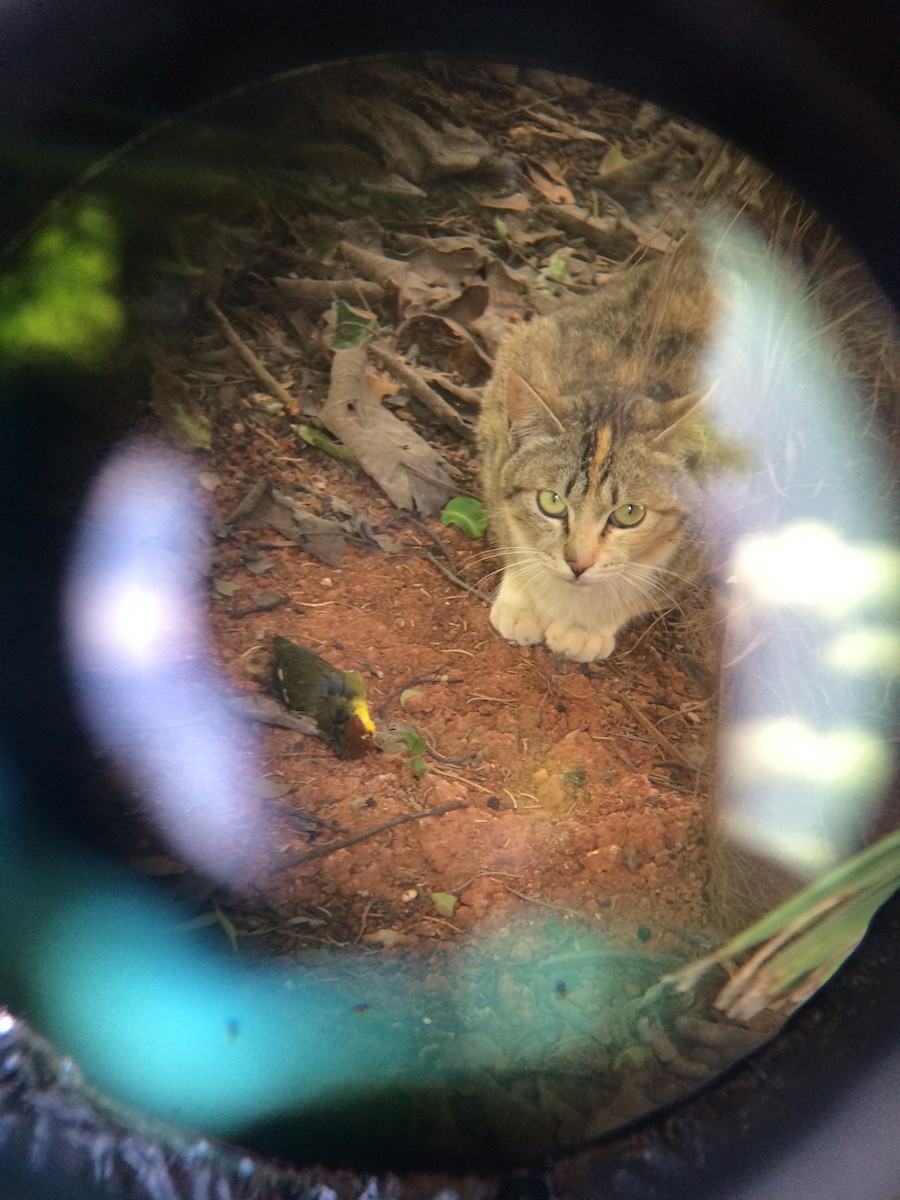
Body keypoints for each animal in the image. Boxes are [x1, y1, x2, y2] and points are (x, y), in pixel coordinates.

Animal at [480, 237, 724, 662]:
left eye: (629, 513)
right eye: (551, 502)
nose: (578, 564)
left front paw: (586, 627)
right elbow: (508, 528)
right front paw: (523, 600)